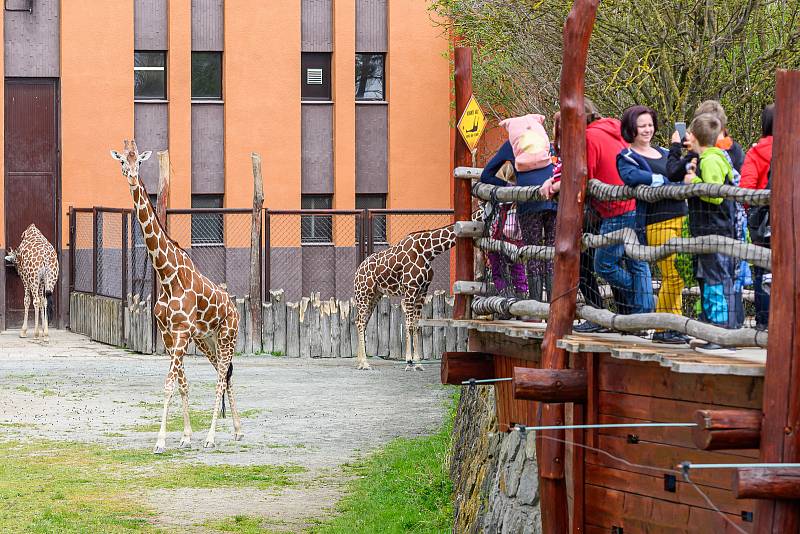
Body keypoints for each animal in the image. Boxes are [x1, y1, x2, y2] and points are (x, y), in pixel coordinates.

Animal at [111, 140, 241, 454]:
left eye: (139, 161)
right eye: (122, 161)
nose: (131, 177)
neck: (167, 275)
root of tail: (235, 308)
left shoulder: (181, 333)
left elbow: (169, 384)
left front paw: (160, 441)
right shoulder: (169, 335)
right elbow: (182, 383)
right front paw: (185, 436)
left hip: (227, 336)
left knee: (221, 379)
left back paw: (212, 438)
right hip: (207, 341)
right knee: (225, 375)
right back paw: (237, 431)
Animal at [354, 222, 460, 372]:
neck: (428, 251)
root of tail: (357, 271)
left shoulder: (422, 291)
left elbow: (416, 325)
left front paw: (418, 363)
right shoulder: (411, 289)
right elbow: (409, 324)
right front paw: (409, 361)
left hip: (375, 295)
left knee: (361, 321)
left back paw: (359, 362)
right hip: (363, 293)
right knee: (360, 322)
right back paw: (365, 363)